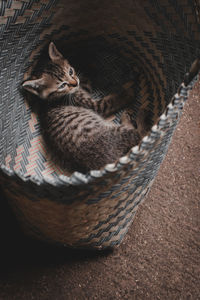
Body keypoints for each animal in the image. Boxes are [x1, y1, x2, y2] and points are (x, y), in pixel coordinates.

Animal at [21, 42, 150, 173]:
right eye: (62, 85)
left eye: (70, 71)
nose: (74, 83)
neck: (50, 100)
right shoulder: (93, 105)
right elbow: (110, 101)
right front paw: (128, 93)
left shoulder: (82, 87)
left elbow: (86, 79)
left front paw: (88, 63)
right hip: (116, 134)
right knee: (140, 135)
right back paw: (140, 115)